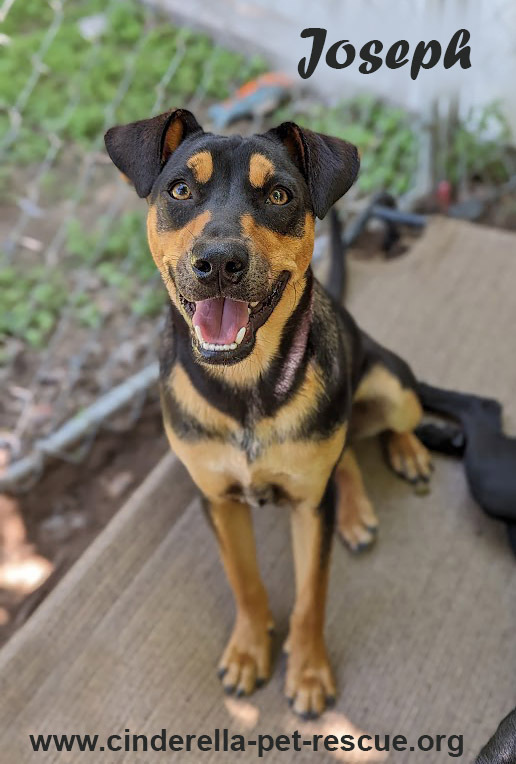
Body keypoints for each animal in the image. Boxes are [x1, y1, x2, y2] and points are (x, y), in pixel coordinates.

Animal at [104, 110, 432, 720]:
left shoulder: (309, 507)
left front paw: (307, 672)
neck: (246, 387)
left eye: (279, 194)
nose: (218, 263)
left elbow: (311, 597)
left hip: (394, 385)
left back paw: (404, 455)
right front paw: (249, 650)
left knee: (370, 432)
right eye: (180, 190)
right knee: (346, 450)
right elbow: (245, 581)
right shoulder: (216, 498)